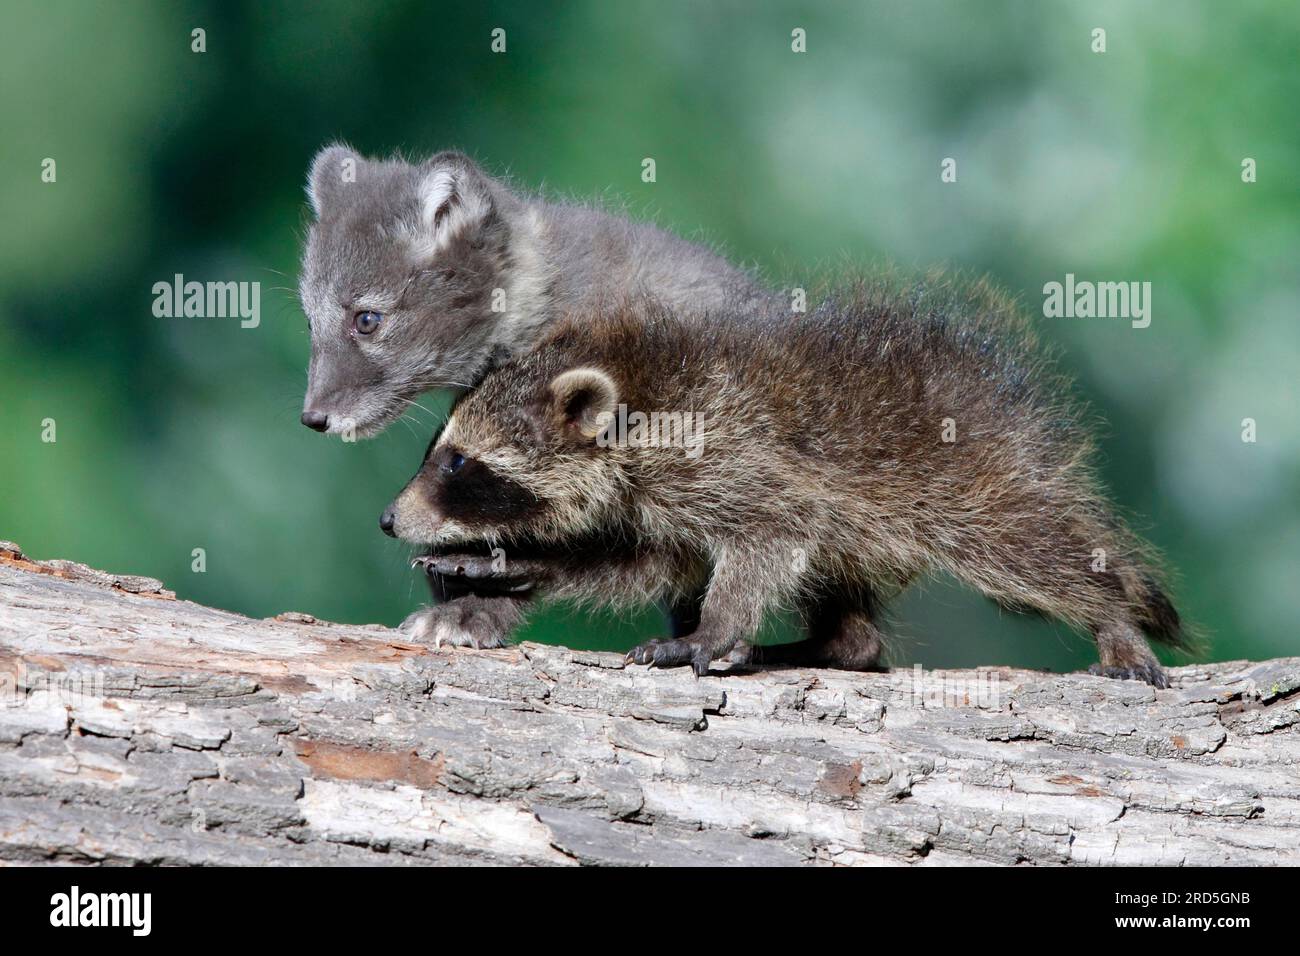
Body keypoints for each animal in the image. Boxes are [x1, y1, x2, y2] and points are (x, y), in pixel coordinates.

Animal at [384, 280, 1189, 687]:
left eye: (459, 465)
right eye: (439, 451)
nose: (390, 520)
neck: (636, 388)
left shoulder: (729, 455)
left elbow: (767, 537)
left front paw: (714, 629)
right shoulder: (660, 497)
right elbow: (643, 562)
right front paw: (516, 564)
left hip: (967, 482)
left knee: (1032, 553)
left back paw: (1110, 616)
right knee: (853, 621)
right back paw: (830, 645)